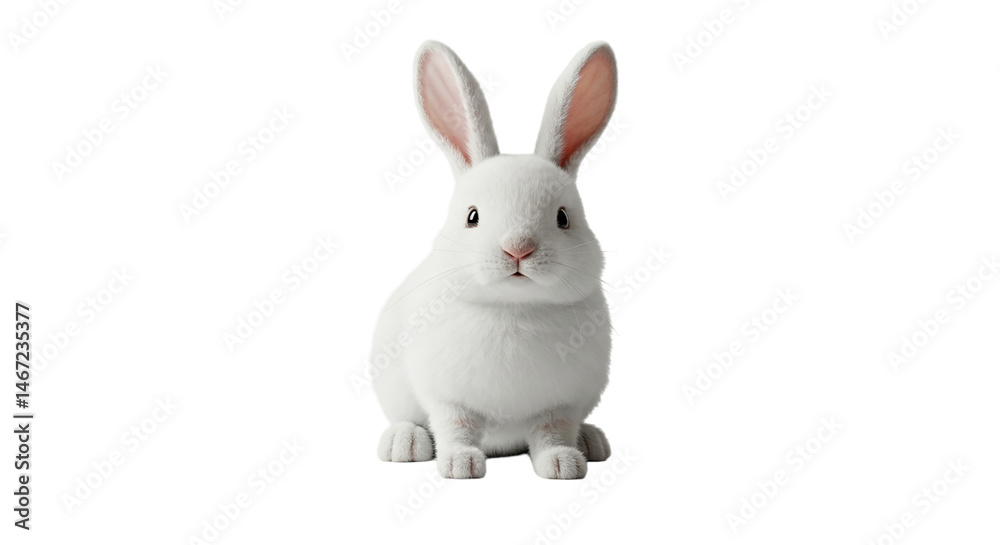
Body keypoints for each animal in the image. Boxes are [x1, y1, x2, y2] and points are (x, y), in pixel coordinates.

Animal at [371, 40, 617, 479]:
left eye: (562, 217)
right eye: (472, 216)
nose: (518, 248)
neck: (513, 308)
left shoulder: (562, 403)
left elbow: (552, 432)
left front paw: (562, 463)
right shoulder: (447, 399)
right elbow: (456, 427)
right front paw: (460, 465)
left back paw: (591, 441)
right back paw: (405, 443)